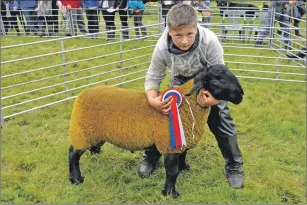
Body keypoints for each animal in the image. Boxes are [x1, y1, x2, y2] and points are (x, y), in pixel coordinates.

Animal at [68, 63, 244, 198]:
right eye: (219, 79)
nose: (241, 94)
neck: (187, 105)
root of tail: (82, 94)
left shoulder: (182, 140)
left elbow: (182, 158)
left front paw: (184, 169)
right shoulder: (169, 144)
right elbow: (172, 172)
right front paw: (170, 193)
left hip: (94, 132)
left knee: (90, 147)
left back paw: (96, 155)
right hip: (82, 131)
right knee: (73, 154)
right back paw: (76, 179)